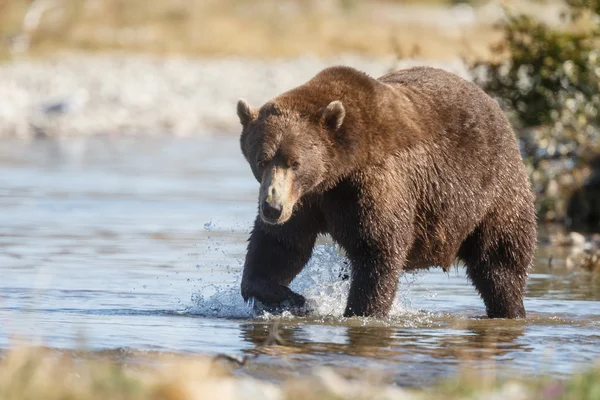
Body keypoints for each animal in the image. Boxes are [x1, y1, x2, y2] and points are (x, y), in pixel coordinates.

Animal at [237, 65, 536, 318]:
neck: (338, 169)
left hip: (493, 192)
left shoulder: (374, 184)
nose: (272, 208)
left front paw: (361, 311)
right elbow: (280, 246)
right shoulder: (307, 199)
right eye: (261, 160)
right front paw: (294, 298)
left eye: (295, 163)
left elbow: (378, 250)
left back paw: (510, 309)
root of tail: (495, 107)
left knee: (500, 261)